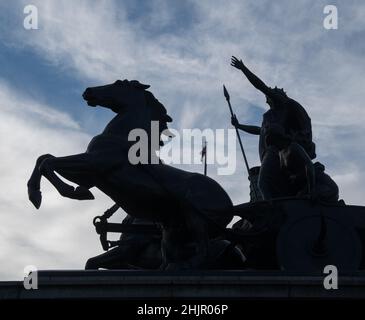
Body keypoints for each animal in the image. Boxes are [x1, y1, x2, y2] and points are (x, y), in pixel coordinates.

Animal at [27, 80, 233, 270]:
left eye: (119, 83)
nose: (88, 91)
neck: (121, 139)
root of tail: (229, 205)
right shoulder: (89, 175)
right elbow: (43, 158)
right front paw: (37, 193)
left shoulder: (92, 164)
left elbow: (48, 163)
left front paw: (67, 192)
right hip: (173, 231)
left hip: (196, 218)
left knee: (203, 253)